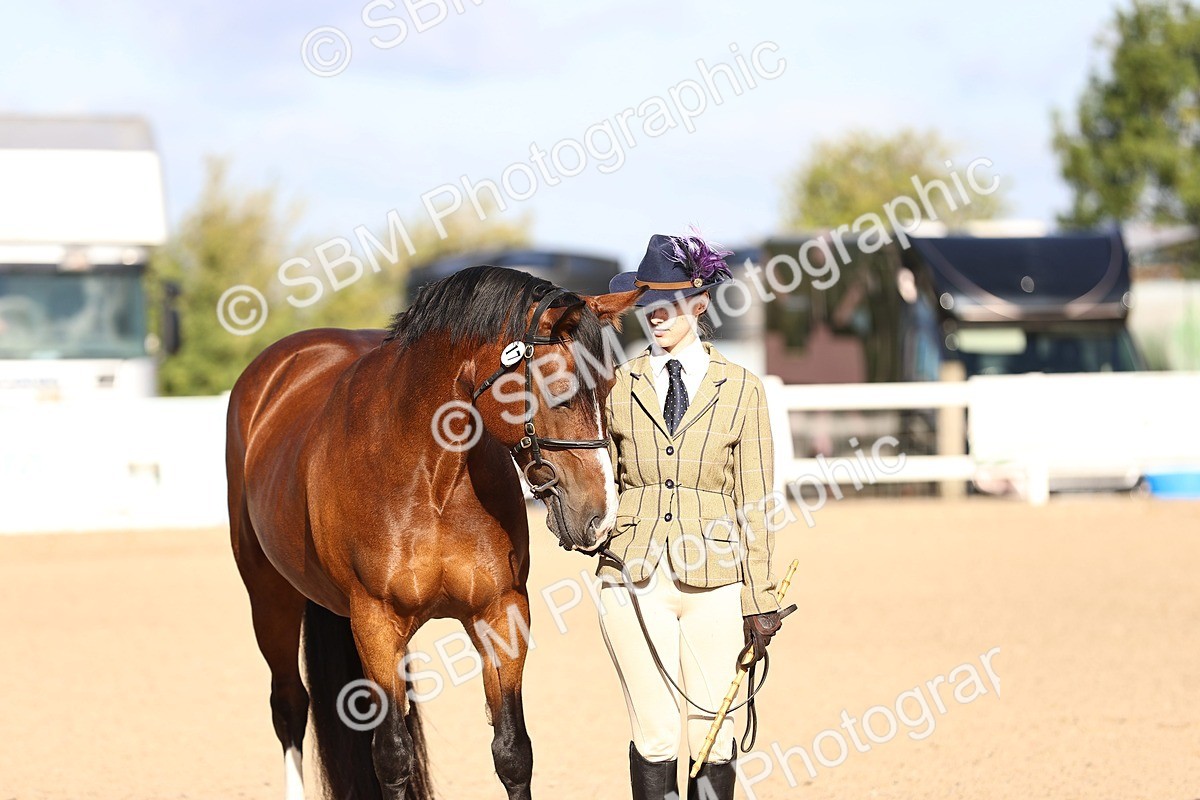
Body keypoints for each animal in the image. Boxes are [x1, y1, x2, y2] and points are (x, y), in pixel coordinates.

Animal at [225, 265, 640, 800]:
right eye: (561, 390)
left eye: (608, 388)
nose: (601, 515)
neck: (431, 475)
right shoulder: (375, 621)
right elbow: (392, 756)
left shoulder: (501, 611)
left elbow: (513, 752)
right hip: (270, 598)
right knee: (290, 705)